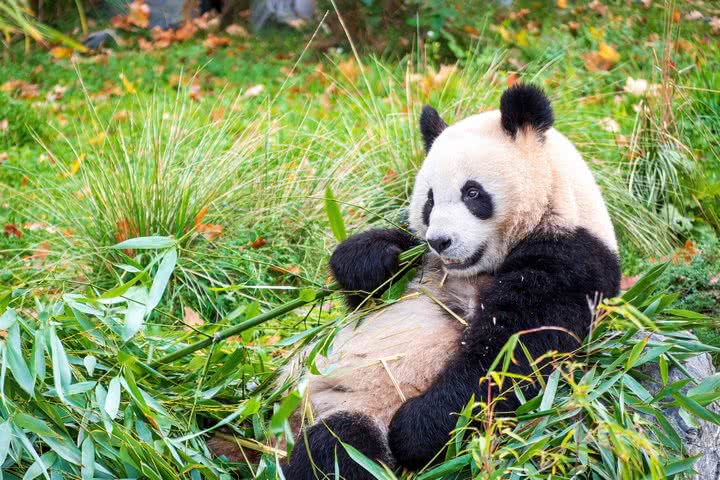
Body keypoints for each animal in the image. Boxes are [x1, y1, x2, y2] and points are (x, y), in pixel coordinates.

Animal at [282, 84, 621, 479]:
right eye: (429, 200)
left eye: (472, 193)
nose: (440, 241)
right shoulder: (422, 262)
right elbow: (366, 296)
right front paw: (375, 258)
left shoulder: (574, 259)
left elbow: (511, 354)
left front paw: (414, 430)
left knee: (341, 449)